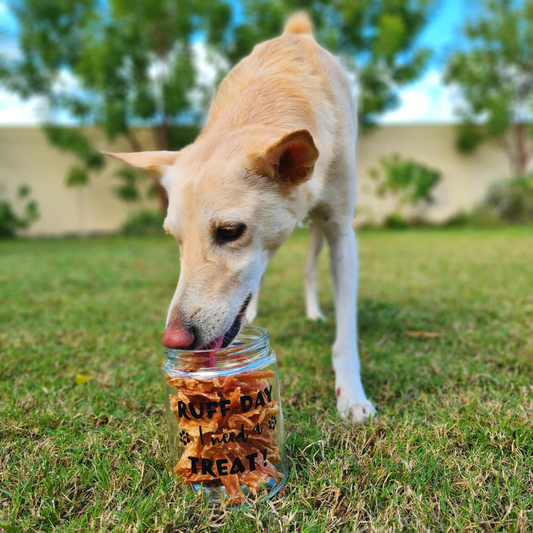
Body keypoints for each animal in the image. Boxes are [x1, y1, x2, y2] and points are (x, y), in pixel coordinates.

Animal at [105, 12, 374, 422]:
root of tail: (295, 32)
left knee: (309, 268)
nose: (175, 339)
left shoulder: (342, 231)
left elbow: (346, 333)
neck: (270, 96)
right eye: (174, 238)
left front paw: (353, 398)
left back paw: (313, 312)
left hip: (321, 229)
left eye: (230, 231)